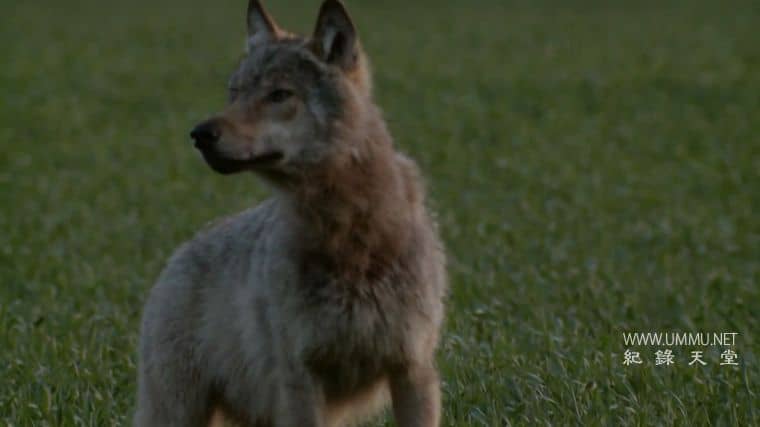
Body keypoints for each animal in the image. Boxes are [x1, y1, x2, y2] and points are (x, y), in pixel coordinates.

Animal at [134, 1, 447, 426]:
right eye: (235, 93)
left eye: (279, 95)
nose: (200, 134)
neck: (349, 234)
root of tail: (178, 255)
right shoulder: (300, 379)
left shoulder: (412, 372)